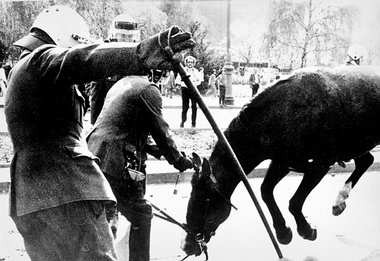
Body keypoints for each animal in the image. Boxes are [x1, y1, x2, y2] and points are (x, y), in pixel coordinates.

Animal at [180, 66, 380, 255]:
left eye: (207, 199)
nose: (187, 244)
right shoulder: (282, 161)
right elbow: (265, 191)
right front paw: (282, 231)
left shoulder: (321, 163)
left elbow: (295, 201)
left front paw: (305, 230)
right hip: (355, 144)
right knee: (366, 161)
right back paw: (339, 201)